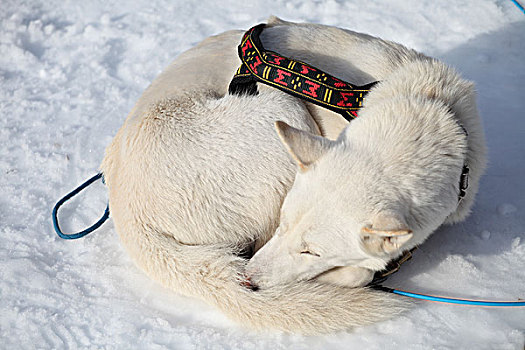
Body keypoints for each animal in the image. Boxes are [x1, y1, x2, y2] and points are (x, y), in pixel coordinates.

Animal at [100, 16, 486, 334]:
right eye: (284, 225)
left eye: (311, 251)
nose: (250, 282)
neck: (430, 108)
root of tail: (128, 213)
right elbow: (361, 269)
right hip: (279, 105)